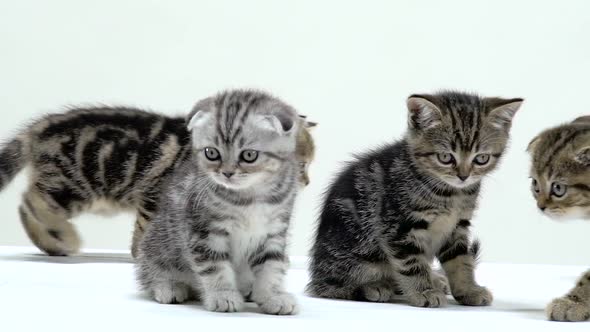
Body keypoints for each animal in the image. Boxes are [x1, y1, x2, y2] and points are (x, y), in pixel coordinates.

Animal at [0, 96, 320, 256]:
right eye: (301, 165)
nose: (306, 182)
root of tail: (38, 130)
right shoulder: (154, 196)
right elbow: (145, 232)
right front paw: (143, 256)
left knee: (27, 203)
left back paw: (52, 243)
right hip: (73, 186)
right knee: (31, 202)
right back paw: (62, 238)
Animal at [138, 89, 300, 316]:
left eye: (249, 155)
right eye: (211, 153)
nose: (227, 173)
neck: (250, 196)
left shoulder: (274, 231)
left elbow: (271, 265)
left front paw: (272, 295)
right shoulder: (204, 231)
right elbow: (214, 266)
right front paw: (223, 295)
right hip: (156, 244)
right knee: (149, 271)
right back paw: (169, 286)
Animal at [308, 91, 524, 308]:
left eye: (481, 159)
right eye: (445, 157)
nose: (463, 176)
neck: (451, 194)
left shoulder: (457, 226)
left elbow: (461, 260)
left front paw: (468, 290)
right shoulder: (398, 226)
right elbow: (411, 263)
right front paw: (424, 291)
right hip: (354, 252)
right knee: (329, 286)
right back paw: (374, 286)